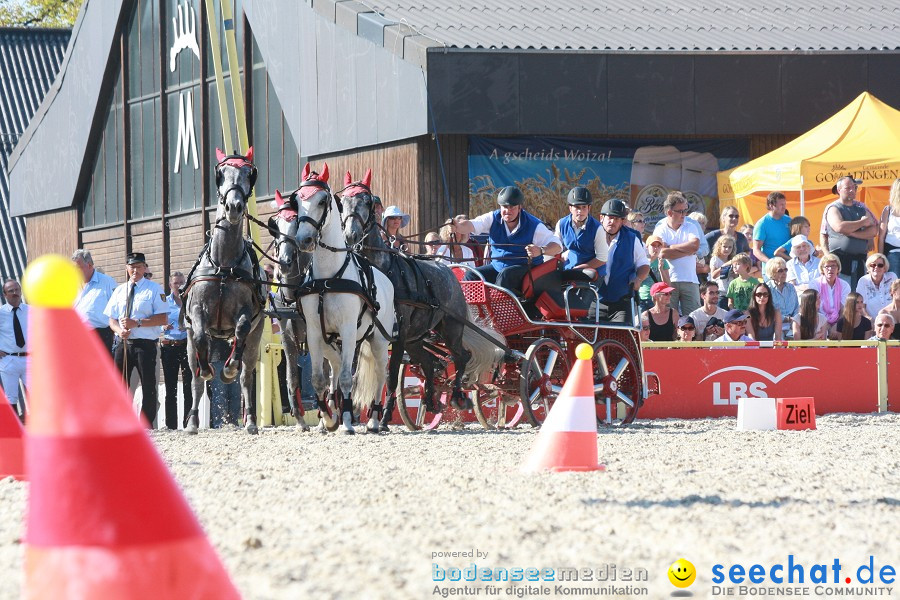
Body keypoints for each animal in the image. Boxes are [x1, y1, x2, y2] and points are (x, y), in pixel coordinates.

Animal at [183, 148, 266, 434]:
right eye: (221, 173)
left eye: (249, 173)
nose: (234, 207)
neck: (223, 265)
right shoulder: (197, 311)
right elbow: (200, 339)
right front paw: (210, 369)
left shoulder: (247, 313)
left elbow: (240, 330)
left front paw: (227, 369)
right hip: (188, 344)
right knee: (195, 379)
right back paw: (193, 420)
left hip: (256, 338)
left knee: (247, 375)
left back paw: (250, 420)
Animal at [294, 166, 396, 434]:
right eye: (296, 201)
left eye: (322, 201)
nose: (303, 240)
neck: (328, 278)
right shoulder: (314, 332)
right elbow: (319, 379)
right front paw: (327, 419)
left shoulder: (349, 330)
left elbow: (348, 379)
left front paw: (347, 422)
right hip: (333, 342)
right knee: (337, 368)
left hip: (379, 340)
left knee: (380, 375)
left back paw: (374, 420)